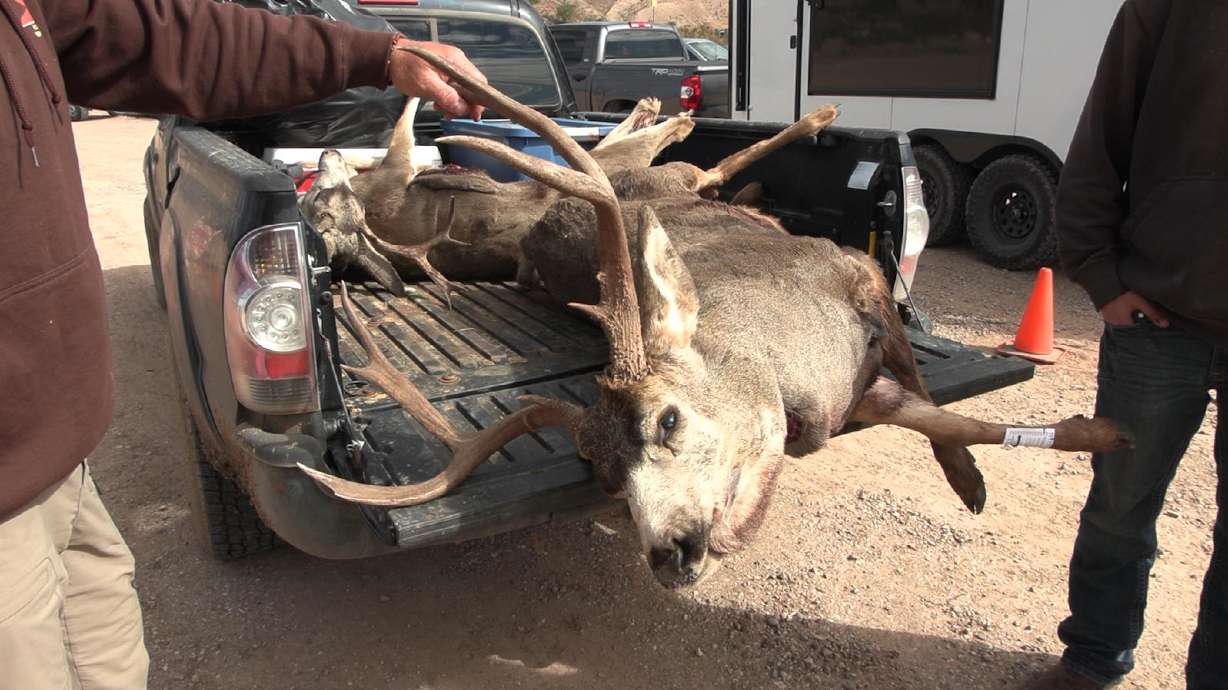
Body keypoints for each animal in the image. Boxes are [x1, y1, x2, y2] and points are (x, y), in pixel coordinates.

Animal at [299, 47, 1134, 589]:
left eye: (666, 419)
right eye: (603, 475)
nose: (668, 552)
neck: (802, 377)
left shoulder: (862, 279)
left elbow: (949, 408)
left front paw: (989, 473)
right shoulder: (860, 393)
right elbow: (952, 416)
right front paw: (1075, 444)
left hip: (663, 176)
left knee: (690, 157)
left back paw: (791, 114)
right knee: (695, 161)